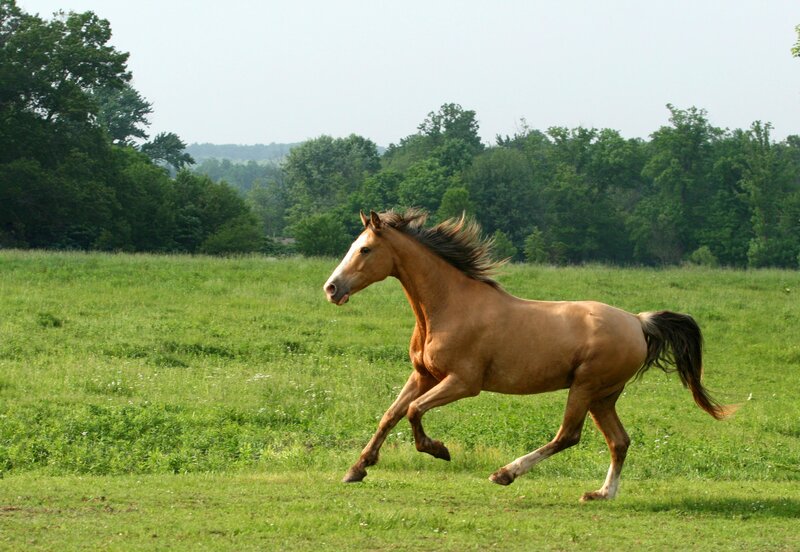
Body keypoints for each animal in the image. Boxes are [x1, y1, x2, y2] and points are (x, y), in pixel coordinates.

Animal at [323, 209, 734, 501]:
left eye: (364, 249)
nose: (331, 288)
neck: (449, 307)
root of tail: (637, 321)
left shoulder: (463, 382)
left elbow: (412, 411)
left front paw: (438, 450)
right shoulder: (424, 375)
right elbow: (390, 414)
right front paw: (356, 469)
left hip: (585, 387)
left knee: (568, 435)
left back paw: (504, 474)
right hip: (604, 396)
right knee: (619, 441)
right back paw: (601, 494)